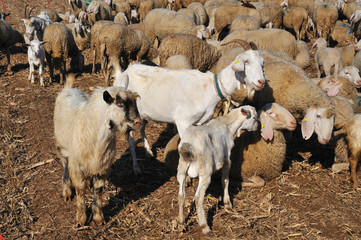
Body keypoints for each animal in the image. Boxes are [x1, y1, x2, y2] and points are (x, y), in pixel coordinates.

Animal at [54, 74, 141, 226]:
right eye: (120, 104)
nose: (138, 122)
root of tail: (68, 89)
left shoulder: (102, 166)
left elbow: (99, 189)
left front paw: (99, 218)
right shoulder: (76, 165)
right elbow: (80, 189)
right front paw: (81, 219)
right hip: (62, 148)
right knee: (64, 165)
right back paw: (67, 192)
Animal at [114, 39, 266, 174]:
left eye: (262, 63)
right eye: (246, 61)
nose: (261, 82)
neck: (211, 86)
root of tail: (124, 73)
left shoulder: (199, 123)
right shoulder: (183, 122)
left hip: (143, 113)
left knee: (142, 127)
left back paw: (148, 152)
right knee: (131, 140)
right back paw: (136, 168)